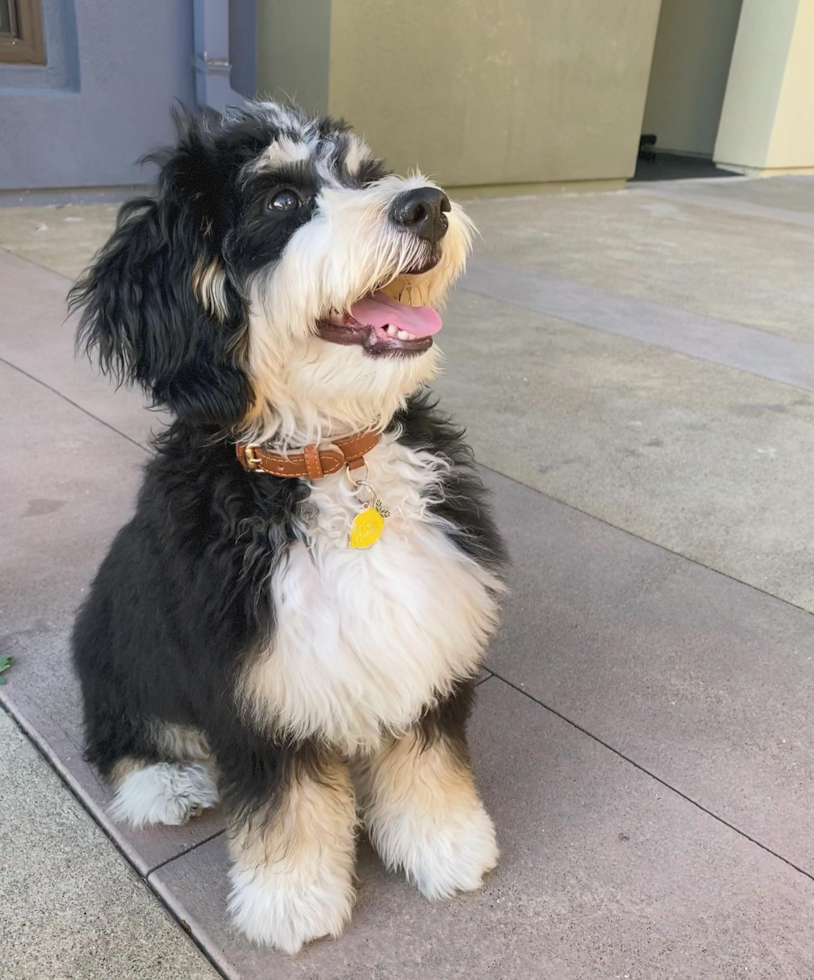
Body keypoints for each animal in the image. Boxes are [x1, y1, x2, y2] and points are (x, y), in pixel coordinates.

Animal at [70, 103, 506, 952]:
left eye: (365, 176)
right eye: (280, 201)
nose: (427, 205)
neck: (330, 463)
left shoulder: (423, 635)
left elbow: (426, 758)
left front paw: (443, 843)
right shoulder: (251, 683)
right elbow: (286, 804)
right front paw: (292, 899)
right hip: (115, 644)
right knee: (120, 731)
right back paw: (163, 783)